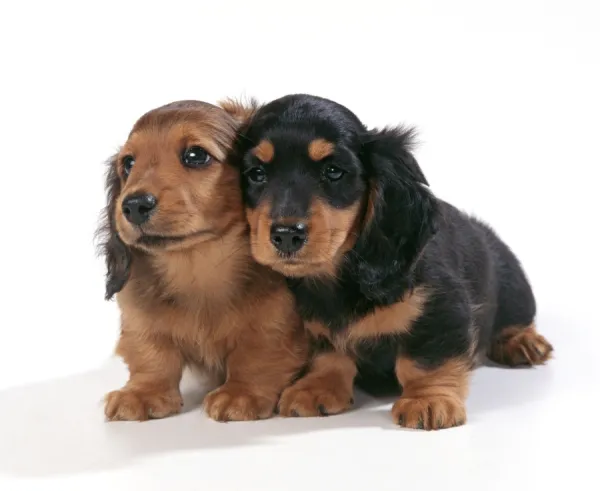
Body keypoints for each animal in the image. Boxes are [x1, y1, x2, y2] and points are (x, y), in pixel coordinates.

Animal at [97, 100, 310, 422]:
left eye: (195, 155)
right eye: (129, 164)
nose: (133, 205)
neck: (197, 268)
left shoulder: (276, 321)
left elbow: (258, 353)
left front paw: (241, 393)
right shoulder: (140, 317)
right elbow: (151, 354)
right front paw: (142, 392)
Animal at [231, 93, 552, 430]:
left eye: (333, 171)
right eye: (256, 174)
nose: (286, 235)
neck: (341, 278)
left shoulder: (441, 309)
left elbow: (425, 360)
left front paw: (428, 399)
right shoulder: (315, 326)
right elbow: (330, 355)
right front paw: (316, 388)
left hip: (513, 286)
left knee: (516, 319)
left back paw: (524, 342)